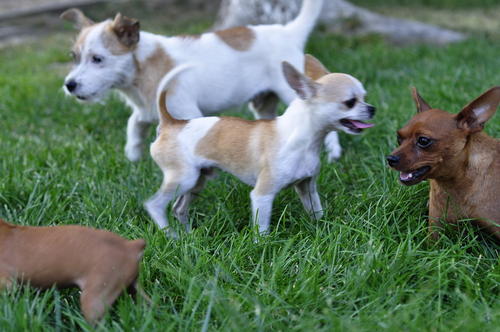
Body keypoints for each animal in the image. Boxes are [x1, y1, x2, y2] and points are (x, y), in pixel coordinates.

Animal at [57, 0, 344, 163]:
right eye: (74, 57)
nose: (69, 85)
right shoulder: (145, 111)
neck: (143, 71)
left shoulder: (185, 113)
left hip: (290, 92)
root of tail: (287, 31)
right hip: (263, 101)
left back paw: (333, 154)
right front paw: (133, 160)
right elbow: (134, 128)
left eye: (97, 59)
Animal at [145, 56, 376, 239]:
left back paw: (188, 236)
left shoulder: (307, 187)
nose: (372, 108)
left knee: (178, 209)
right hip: (184, 178)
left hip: (197, 181)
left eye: (364, 97)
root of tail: (171, 123)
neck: (304, 140)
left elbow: (316, 212)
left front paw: (322, 229)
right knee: (155, 205)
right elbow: (262, 228)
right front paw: (262, 246)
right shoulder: (262, 195)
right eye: (350, 102)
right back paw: (171, 235)